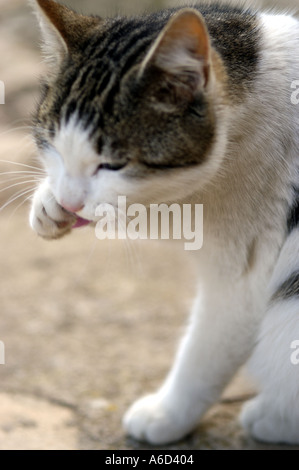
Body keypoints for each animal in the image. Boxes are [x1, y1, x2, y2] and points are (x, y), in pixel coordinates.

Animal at [28, 0, 299, 446]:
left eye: (113, 164)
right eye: (51, 144)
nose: (69, 200)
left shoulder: (243, 277)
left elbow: (205, 351)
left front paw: (167, 414)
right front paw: (49, 203)